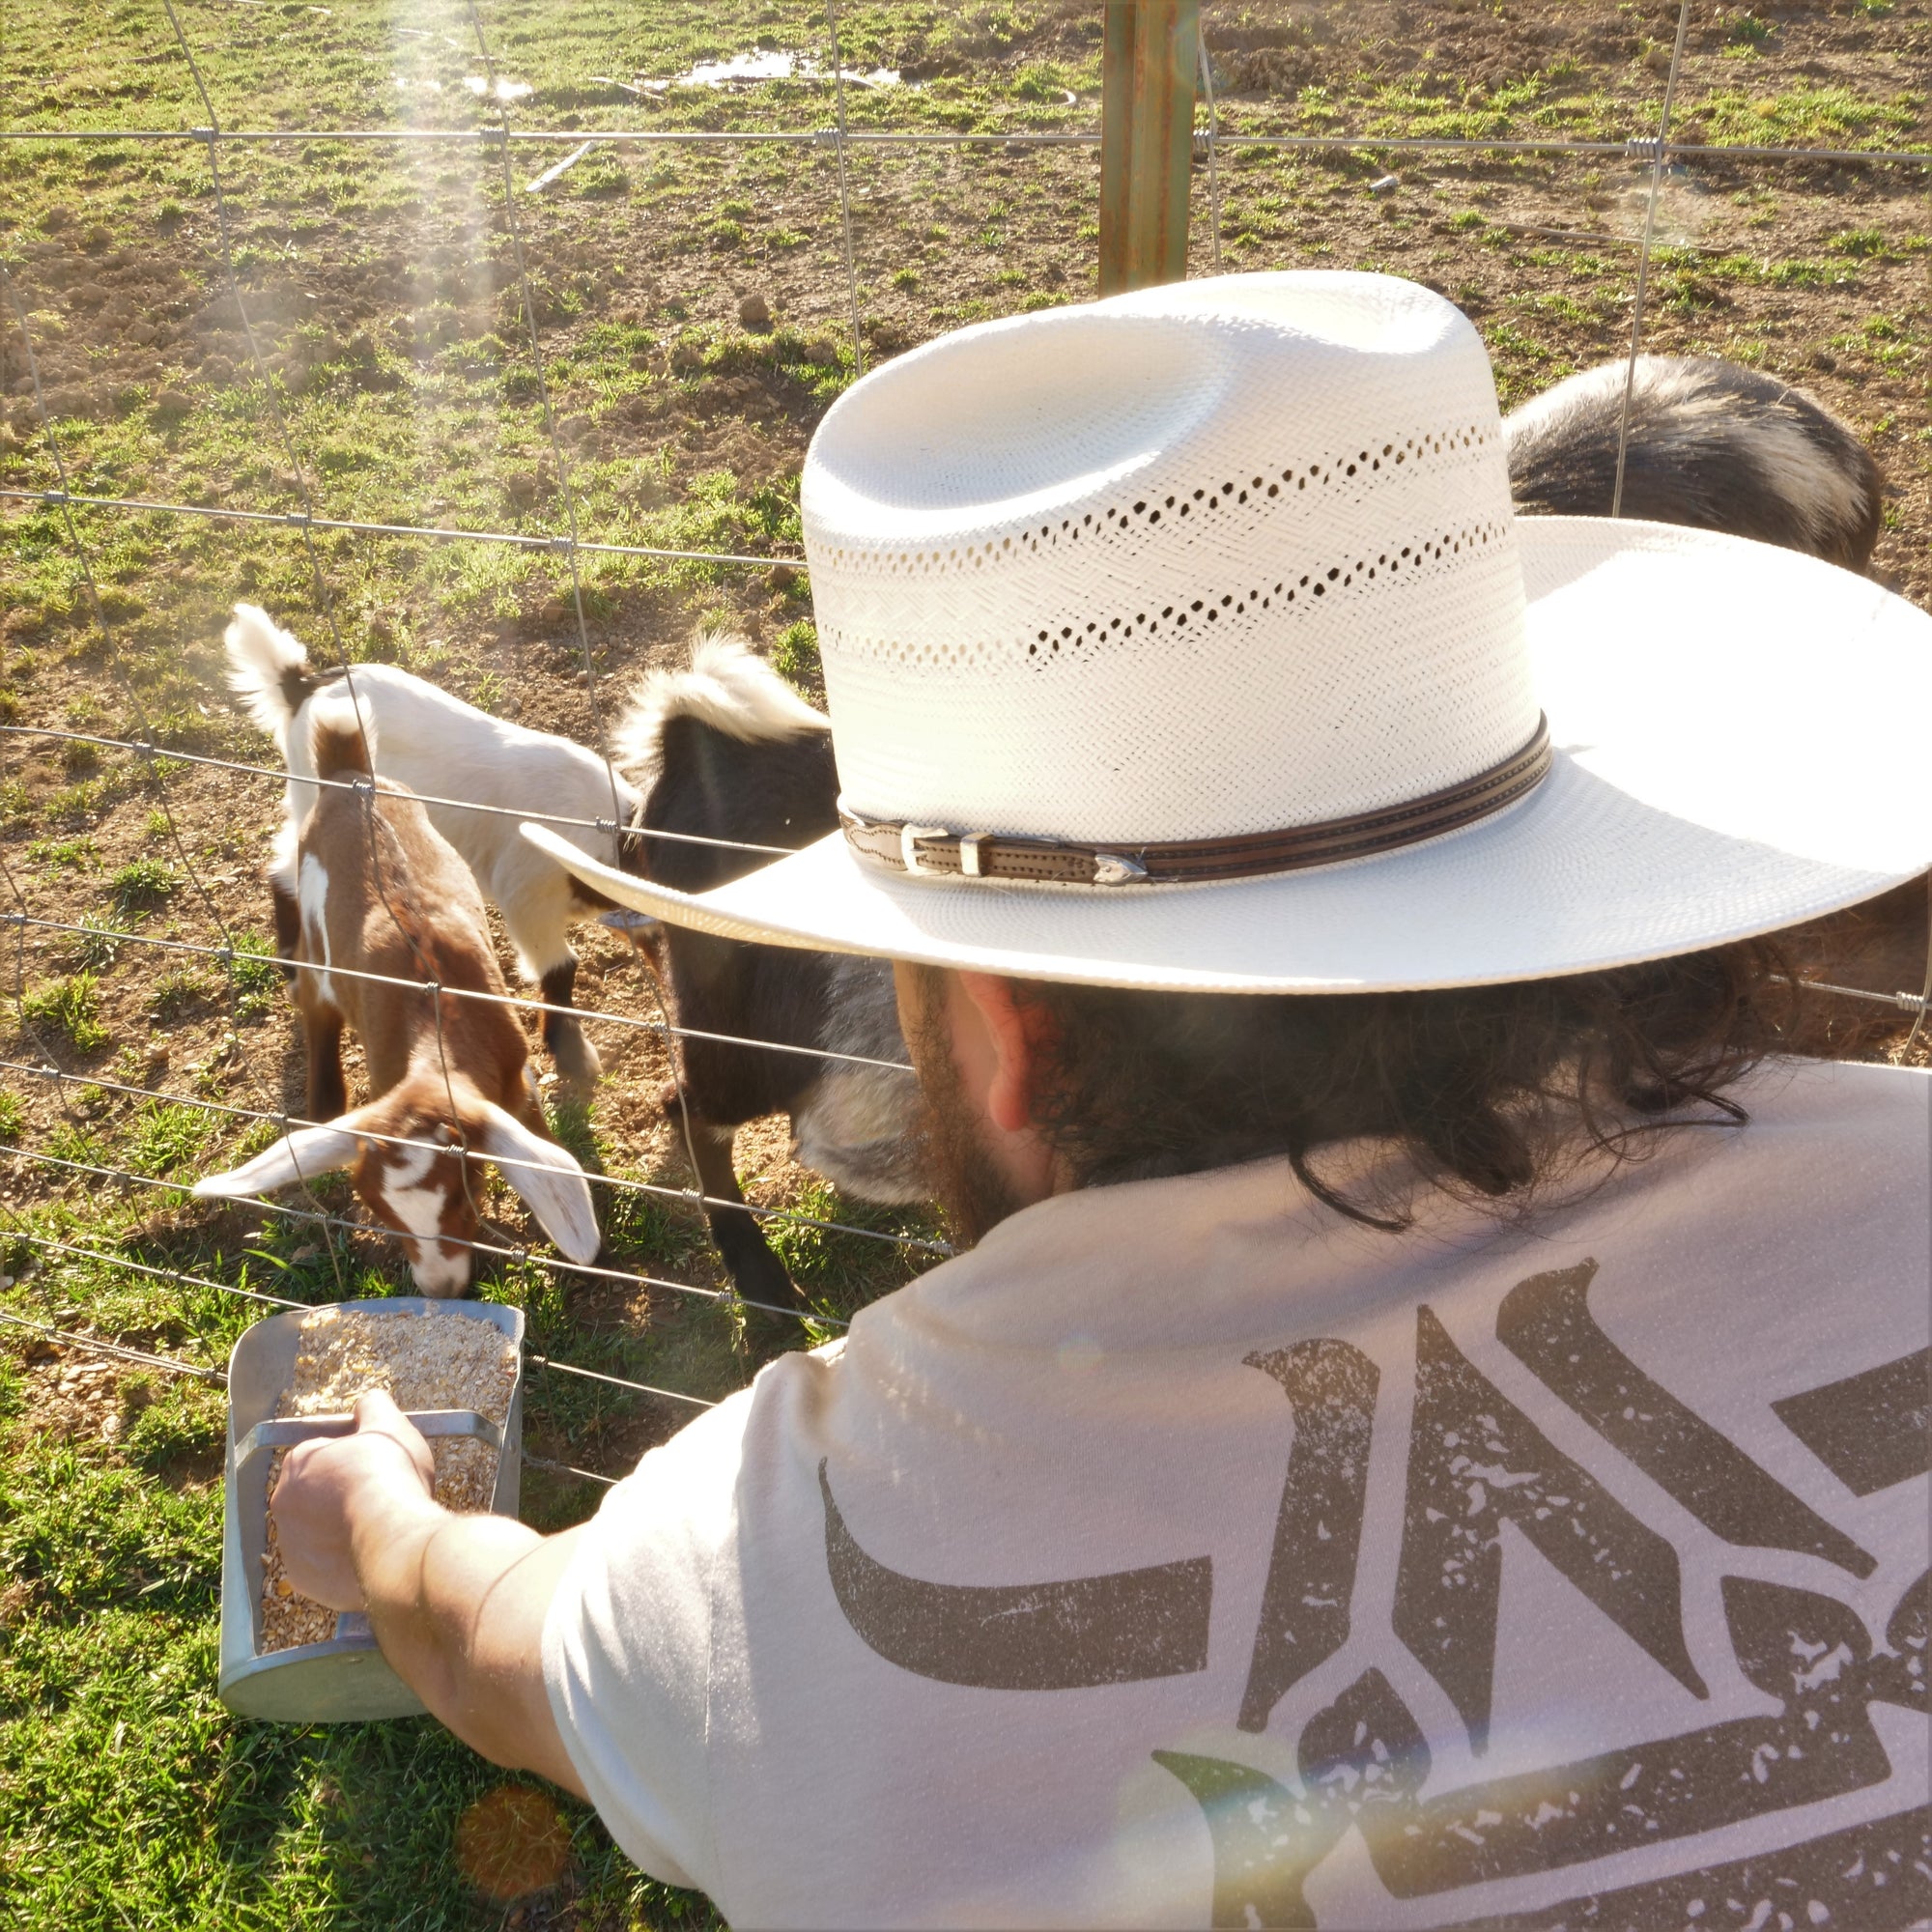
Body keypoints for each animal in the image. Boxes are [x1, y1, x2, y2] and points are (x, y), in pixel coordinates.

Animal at [196, 696, 599, 1298]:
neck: (436, 1028)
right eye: (380, 1212)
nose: (441, 1289)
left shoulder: (513, 1072)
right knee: (315, 1008)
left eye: (464, 1196)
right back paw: (324, 1105)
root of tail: (346, 773)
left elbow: (536, 1132)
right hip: (315, 939)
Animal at [221, 603, 638, 1090]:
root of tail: (303, 685)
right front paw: (574, 1056)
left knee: (283, 865)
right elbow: (559, 968)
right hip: (311, 796)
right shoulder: (527, 893)